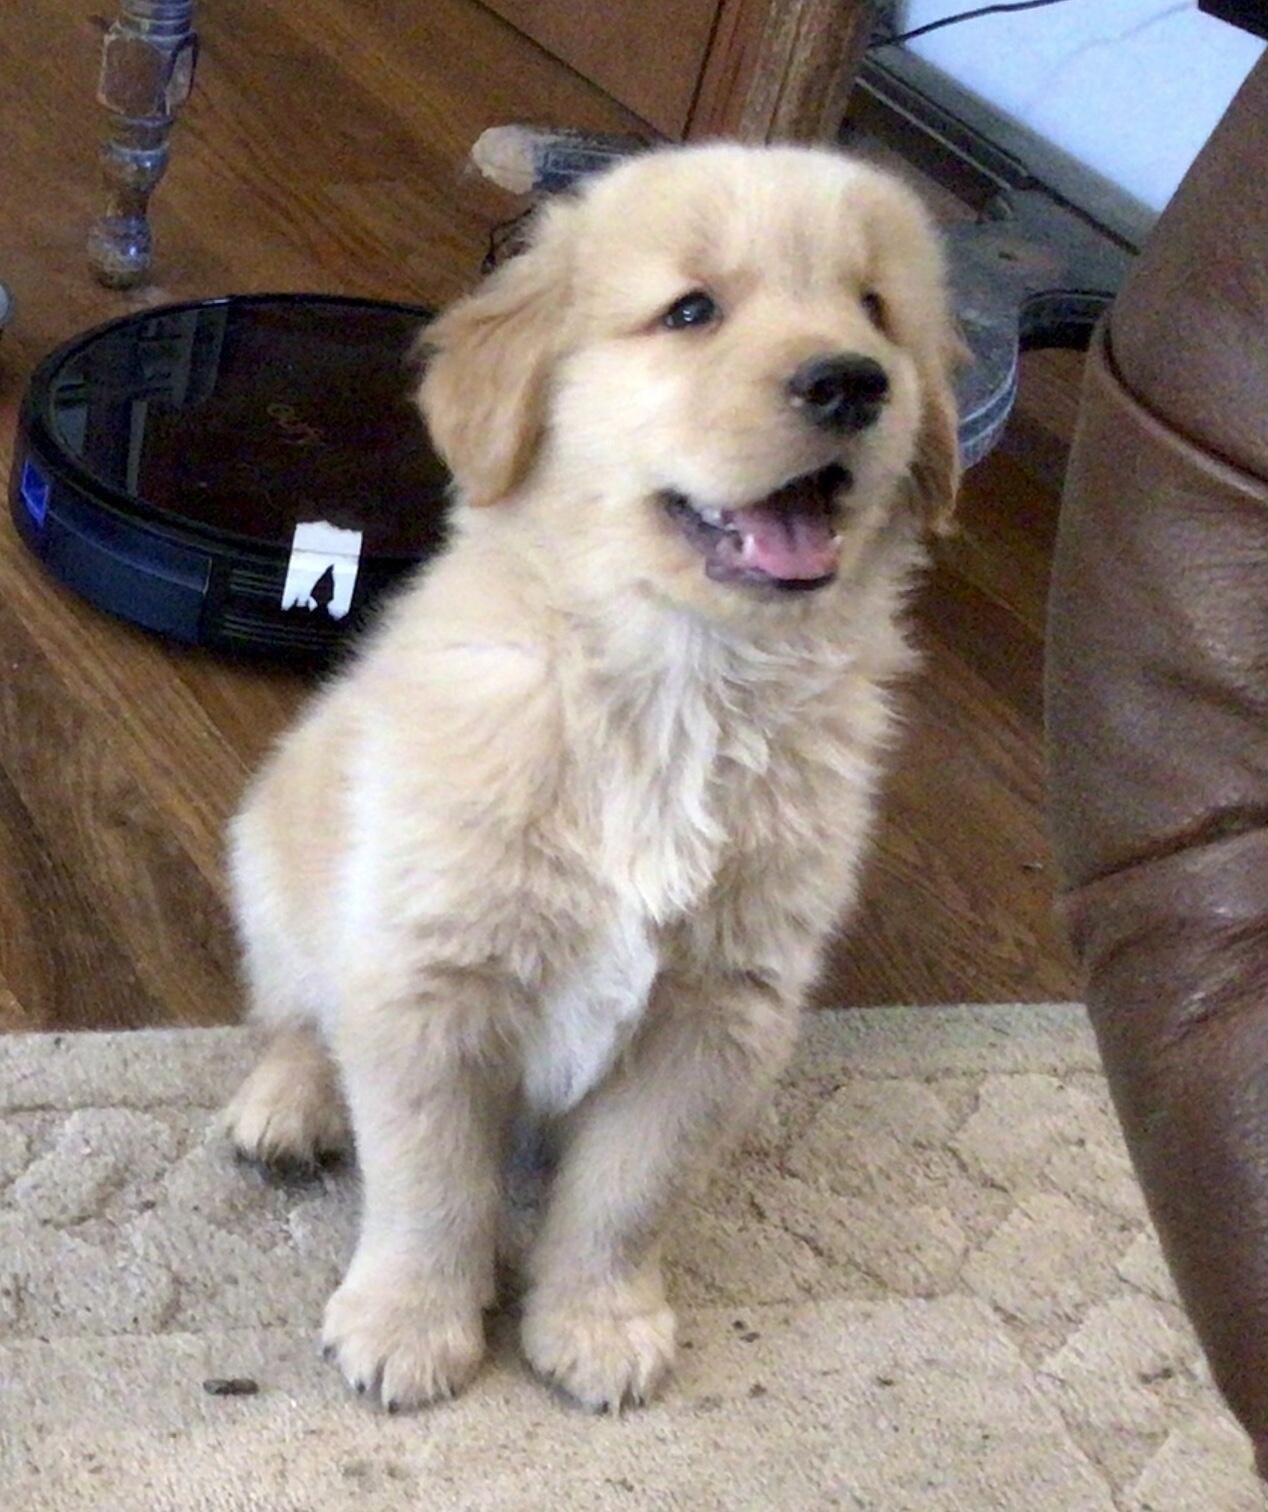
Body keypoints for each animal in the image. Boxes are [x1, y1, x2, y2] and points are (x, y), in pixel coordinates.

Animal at [221, 142, 961, 1414]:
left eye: (875, 311)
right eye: (691, 311)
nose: (850, 382)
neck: (680, 687)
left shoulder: (717, 1014)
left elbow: (626, 1196)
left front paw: (596, 1320)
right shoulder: (426, 982)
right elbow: (430, 1187)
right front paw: (410, 1324)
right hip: (275, 861)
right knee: (294, 1013)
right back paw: (287, 1102)